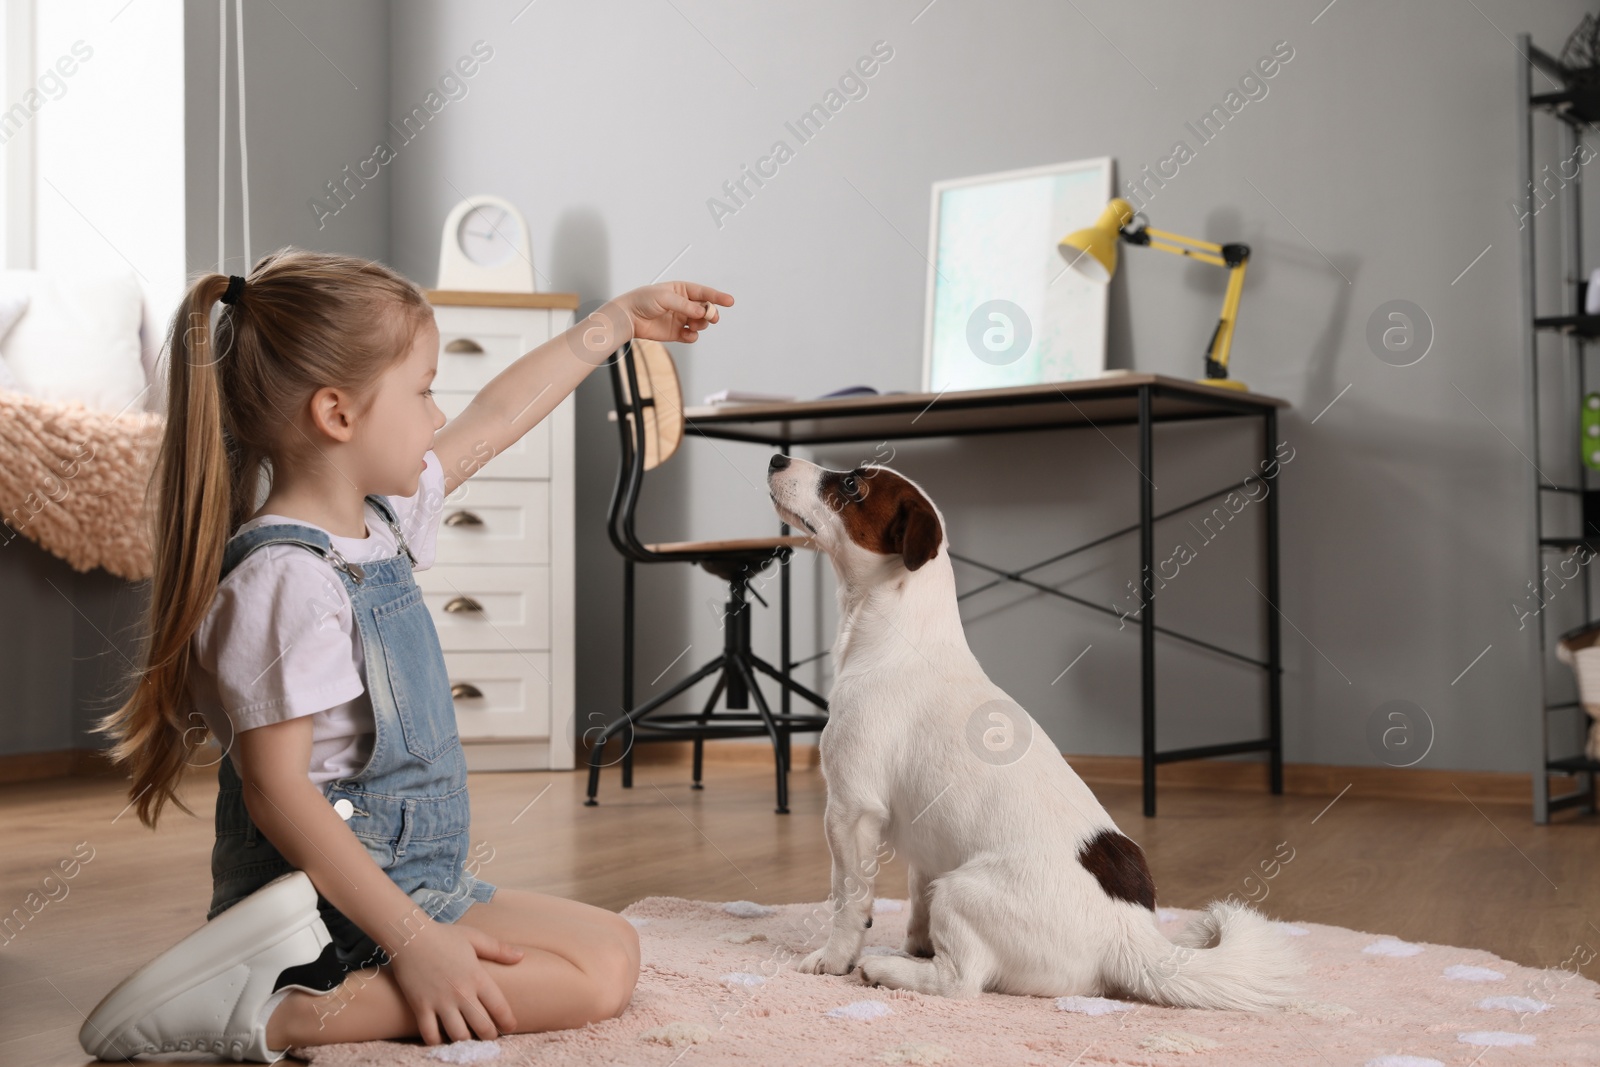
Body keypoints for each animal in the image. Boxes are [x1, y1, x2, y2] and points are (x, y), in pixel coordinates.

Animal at [768, 457, 1305, 1011]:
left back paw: (884, 970)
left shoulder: (851, 810)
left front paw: (834, 959)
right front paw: (914, 943)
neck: (898, 637)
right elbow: (915, 897)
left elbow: (847, 900)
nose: (777, 459)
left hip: (961, 891)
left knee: (959, 983)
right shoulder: (925, 847)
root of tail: (1131, 940)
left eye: (851, 484)